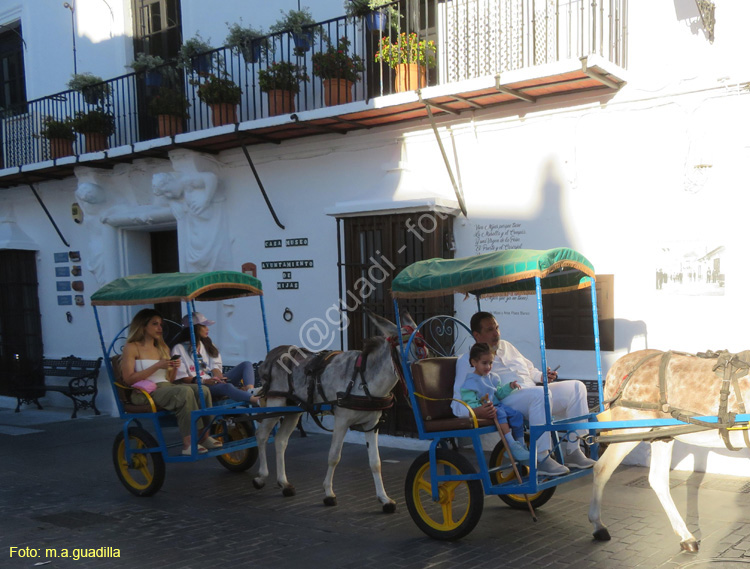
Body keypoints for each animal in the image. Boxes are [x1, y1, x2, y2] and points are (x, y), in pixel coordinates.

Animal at [256, 310, 424, 510]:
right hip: (276, 402)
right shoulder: (342, 421)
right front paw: (328, 493)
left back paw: (284, 483)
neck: (363, 380)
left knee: (281, 440)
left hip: (293, 410)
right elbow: (334, 456)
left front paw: (384, 499)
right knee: (262, 435)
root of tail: (275, 353)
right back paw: (261, 476)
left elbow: (375, 462)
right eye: (408, 350)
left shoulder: (372, 424)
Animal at [592, 346, 748, 552]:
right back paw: (598, 526)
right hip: (629, 430)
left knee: (657, 479)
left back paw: (686, 536)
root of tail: (619, 366)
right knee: (601, 469)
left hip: (661, 435)